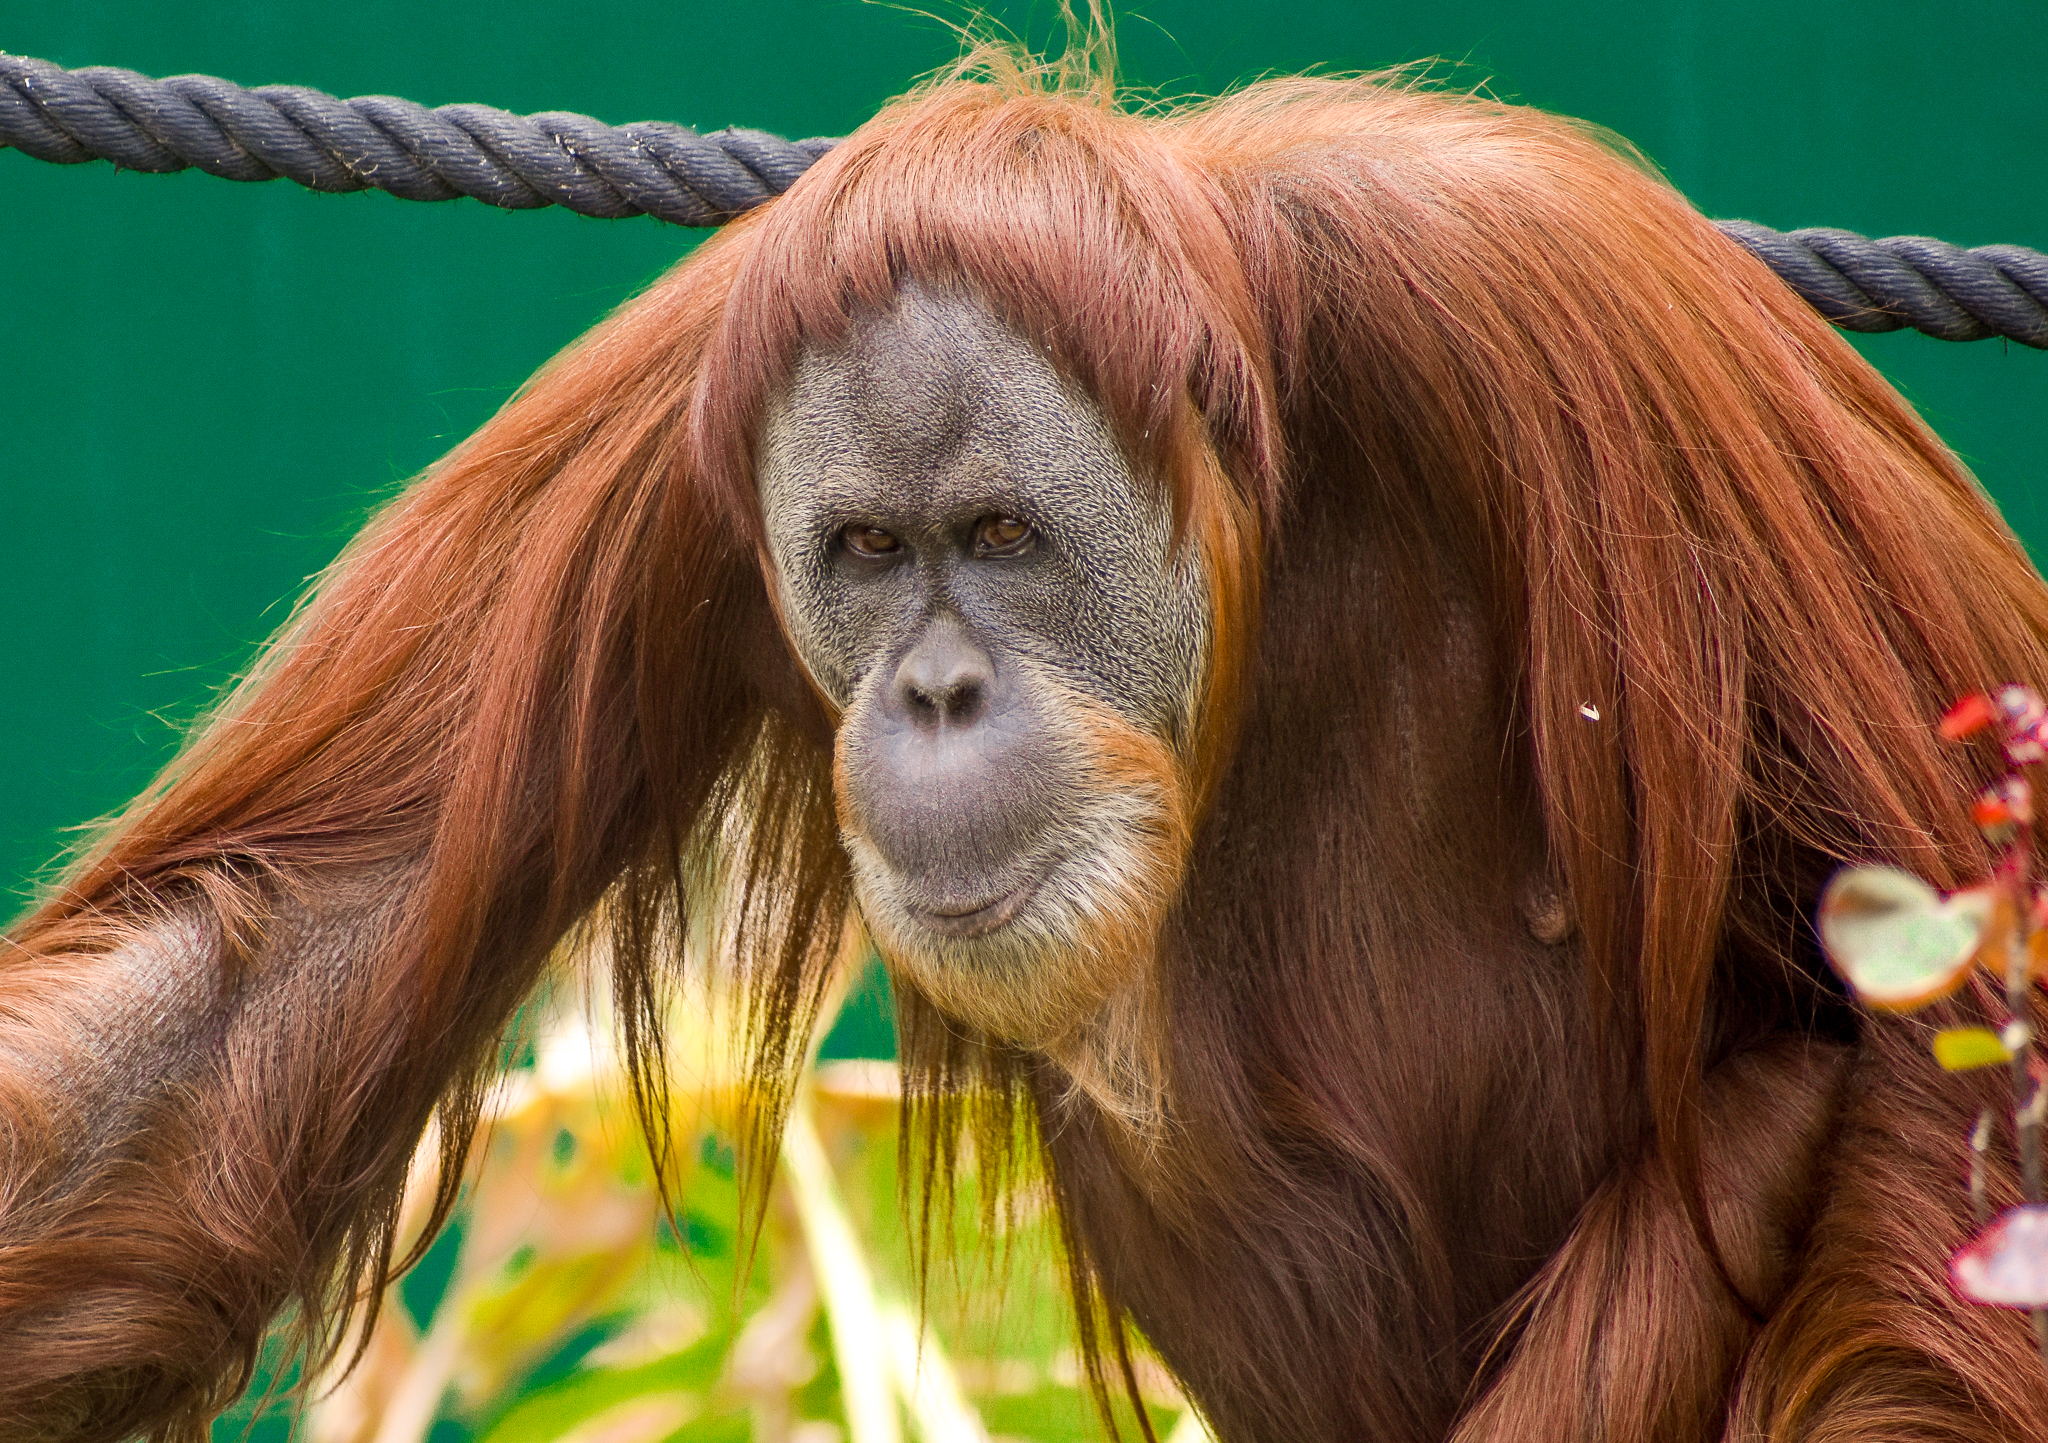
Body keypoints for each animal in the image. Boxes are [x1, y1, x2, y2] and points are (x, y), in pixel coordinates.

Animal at [4, 53, 2047, 1443]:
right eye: (864, 552)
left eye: (998, 537)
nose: (929, 692)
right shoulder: (671, 409)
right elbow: (239, 1002)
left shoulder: (1556, 303)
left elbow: (1951, 993)